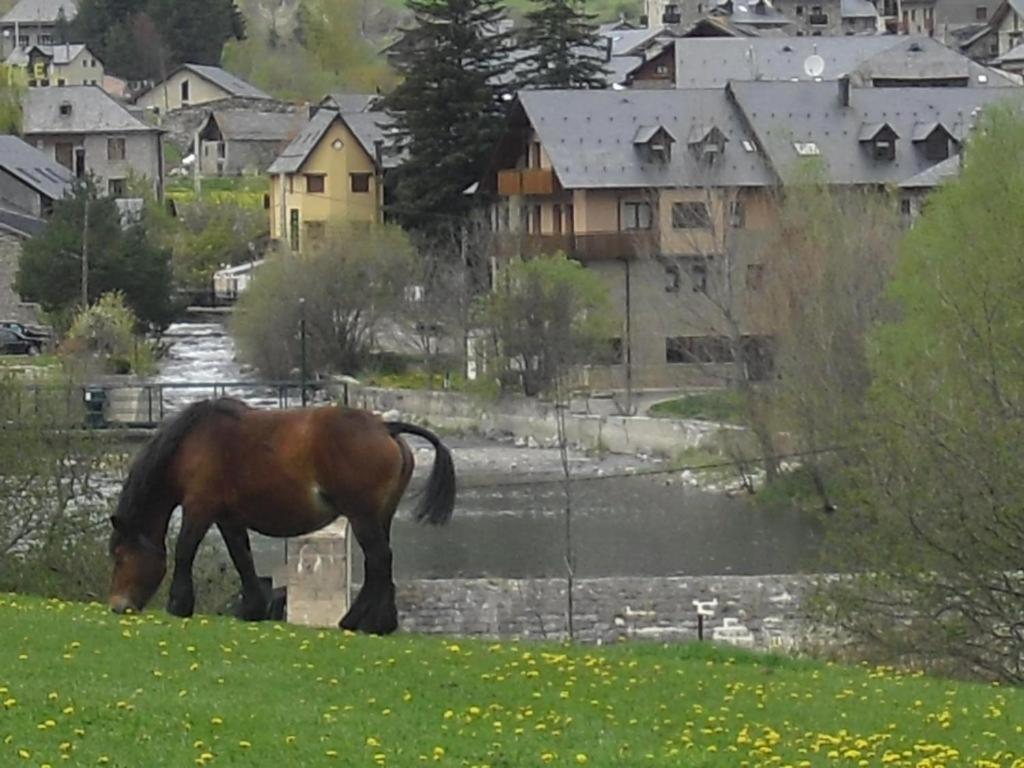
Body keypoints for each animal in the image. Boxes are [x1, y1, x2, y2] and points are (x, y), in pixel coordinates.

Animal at [105, 399, 454, 634]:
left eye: (120, 558)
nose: (117, 606)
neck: (193, 443)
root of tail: (385, 426)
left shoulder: (200, 508)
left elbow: (184, 551)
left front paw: (179, 605)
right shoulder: (229, 519)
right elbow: (242, 558)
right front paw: (252, 608)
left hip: (362, 516)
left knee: (379, 560)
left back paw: (358, 622)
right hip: (379, 517)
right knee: (380, 564)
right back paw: (377, 622)